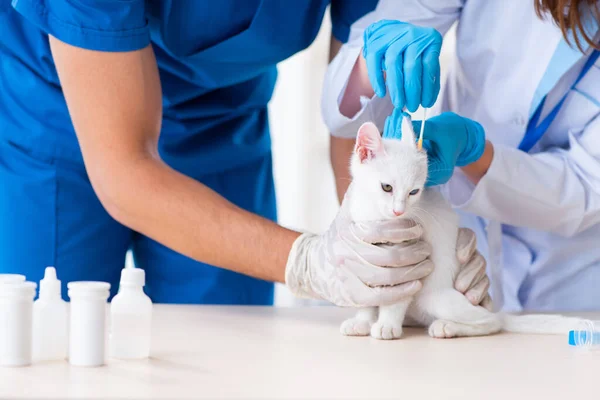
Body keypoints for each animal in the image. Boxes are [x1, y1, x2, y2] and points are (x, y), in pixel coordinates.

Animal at [342, 116, 584, 340]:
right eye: (387, 187)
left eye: (414, 192)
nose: (399, 211)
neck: (375, 216)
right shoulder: (366, 264)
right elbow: (366, 297)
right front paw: (363, 322)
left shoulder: (409, 266)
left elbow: (396, 299)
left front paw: (387, 325)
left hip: (434, 297)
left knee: (492, 322)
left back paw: (447, 326)